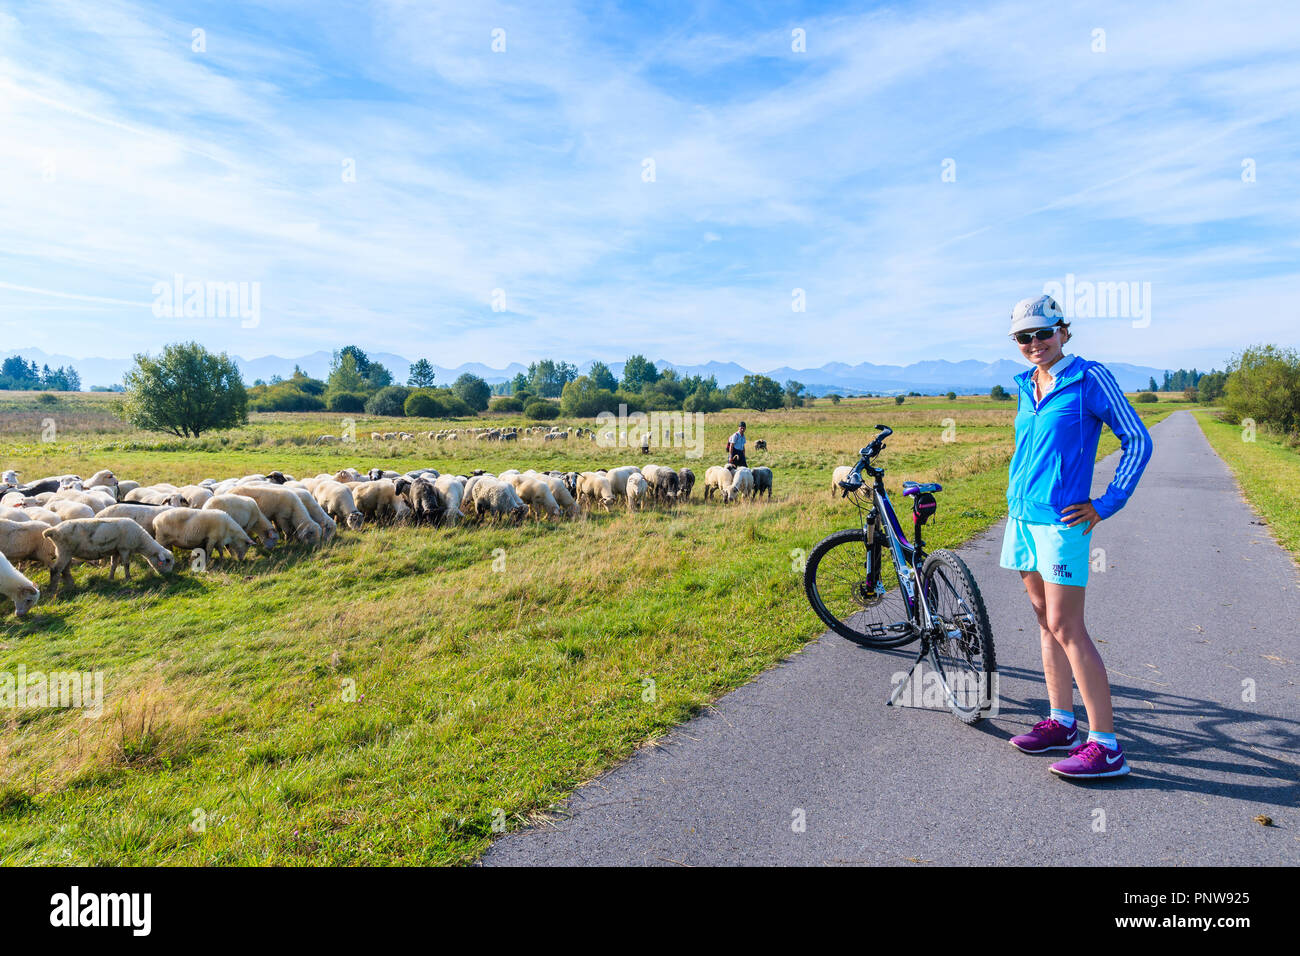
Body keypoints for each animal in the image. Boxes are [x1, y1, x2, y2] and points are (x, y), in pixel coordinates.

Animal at [42, 515, 175, 590]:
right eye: (167, 561)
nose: (169, 576)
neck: (140, 539)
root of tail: (53, 530)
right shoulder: (124, 548)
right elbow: (126, 564)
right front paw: (128, 578)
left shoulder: (116, 550)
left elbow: (113, 565)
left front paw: (111, 578)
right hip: (64, 551)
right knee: (55, 570)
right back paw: (52, 590)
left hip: (66, 552)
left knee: (64, 570)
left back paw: (71, 585)